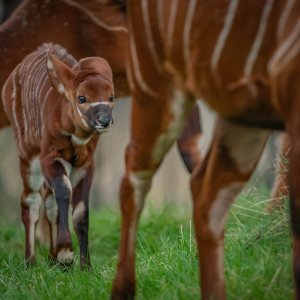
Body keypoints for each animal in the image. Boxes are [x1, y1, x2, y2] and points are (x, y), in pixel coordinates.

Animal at [1, 42, 114, 270]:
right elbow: (63, 191)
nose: (105, 120)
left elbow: (80, 212)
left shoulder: (85, 165)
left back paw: (52, 259)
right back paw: (30, 262)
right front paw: (66, 254)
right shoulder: (50, 157)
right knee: (31, 201)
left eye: (111, 97)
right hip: (28, 157)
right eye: (82, 98)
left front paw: (85, 267)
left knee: (48, 201)